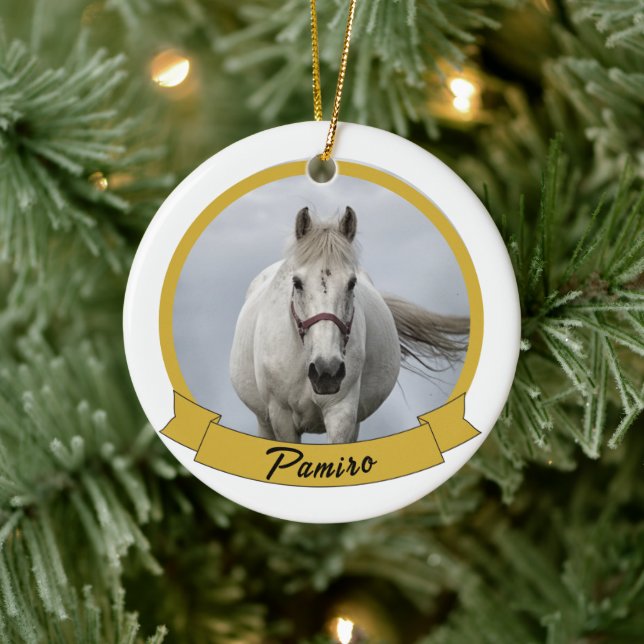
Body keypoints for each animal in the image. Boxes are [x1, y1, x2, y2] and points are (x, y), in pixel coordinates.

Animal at [229, 206, 469, 444]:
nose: (326, 371)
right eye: (297, 283)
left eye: (351, 283)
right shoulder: (282, 417)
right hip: (264, 420)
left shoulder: (341, 412)